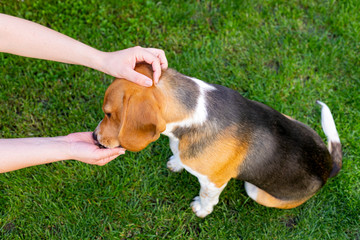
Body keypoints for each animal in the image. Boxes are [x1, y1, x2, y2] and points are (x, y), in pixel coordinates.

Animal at [92, 63, 340, 218]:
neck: (193, 116)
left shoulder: (214, 182)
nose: (94, 137)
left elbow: (206, 197)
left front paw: (201, 210)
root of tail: (328, 167)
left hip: (255, 190)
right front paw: (176, 162)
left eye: (109, 114)